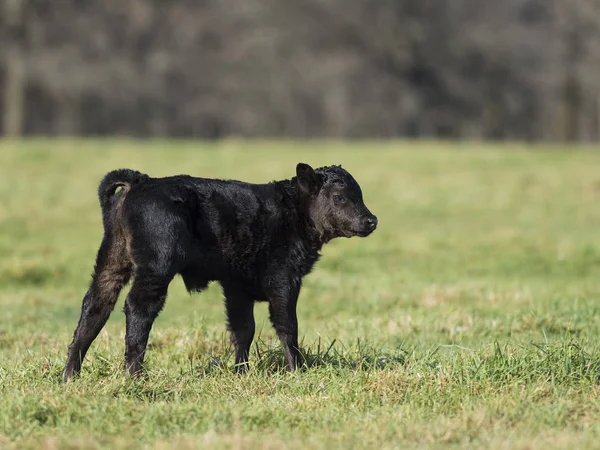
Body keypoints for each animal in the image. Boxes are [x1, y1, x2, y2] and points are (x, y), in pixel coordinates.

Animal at [63, 162, 378, 380]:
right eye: (339, 197)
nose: (372, 220)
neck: (291, 214)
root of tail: (142, 181)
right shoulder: (284, 279)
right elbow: (287, 326)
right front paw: (296, 371)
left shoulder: (237, 285)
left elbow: (243, 328)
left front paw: (242, 372)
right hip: (156, 266)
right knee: (138, 307)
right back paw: (135, 375)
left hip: (112, 261)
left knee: (95, 305)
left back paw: (70, 375)